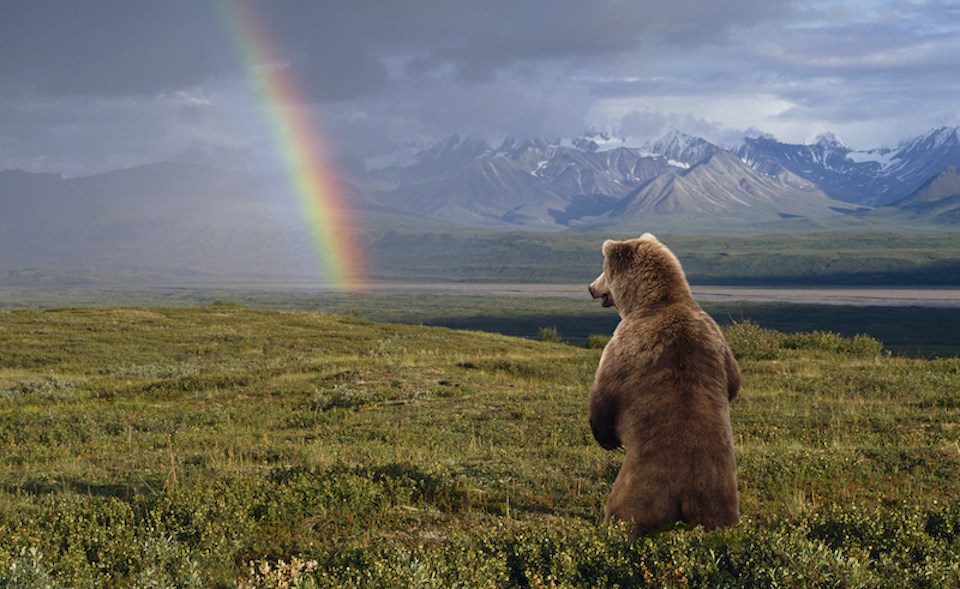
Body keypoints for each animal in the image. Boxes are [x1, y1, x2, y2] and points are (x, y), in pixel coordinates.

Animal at [584, 232, 744, 536]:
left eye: (603, 270)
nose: (590, 288)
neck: (654, 300)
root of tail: (686, 496)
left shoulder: (624, 343)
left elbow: (604, 391)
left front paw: (605, 437)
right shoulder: (717, 339)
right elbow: (734, 381)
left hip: (639, 489)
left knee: (624, 512)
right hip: (720, 494)